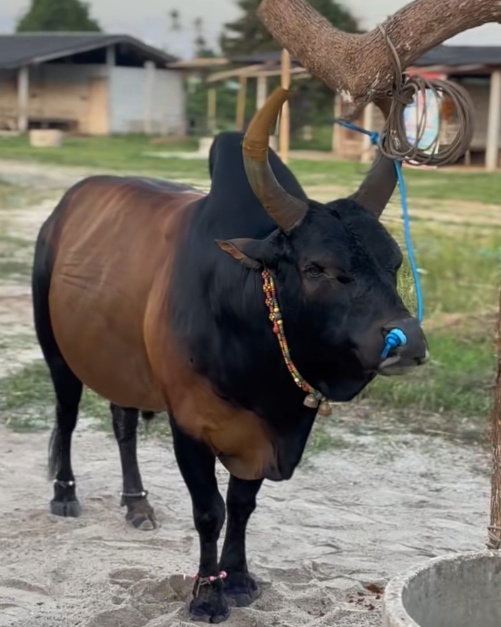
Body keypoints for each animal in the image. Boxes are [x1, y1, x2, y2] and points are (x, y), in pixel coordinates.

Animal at [32, 87, 428, 623]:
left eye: (394, 262)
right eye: (316, 267)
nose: (408, 341)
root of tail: (61, 212)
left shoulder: (262, 436)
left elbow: (242, 504)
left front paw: (237, 579)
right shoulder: (190, 425)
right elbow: (209, 511)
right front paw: (206, 595)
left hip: (123, 361)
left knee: (123, 422)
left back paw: (137, 503)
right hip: (57, 353)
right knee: (67, 417)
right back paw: (65, 494)